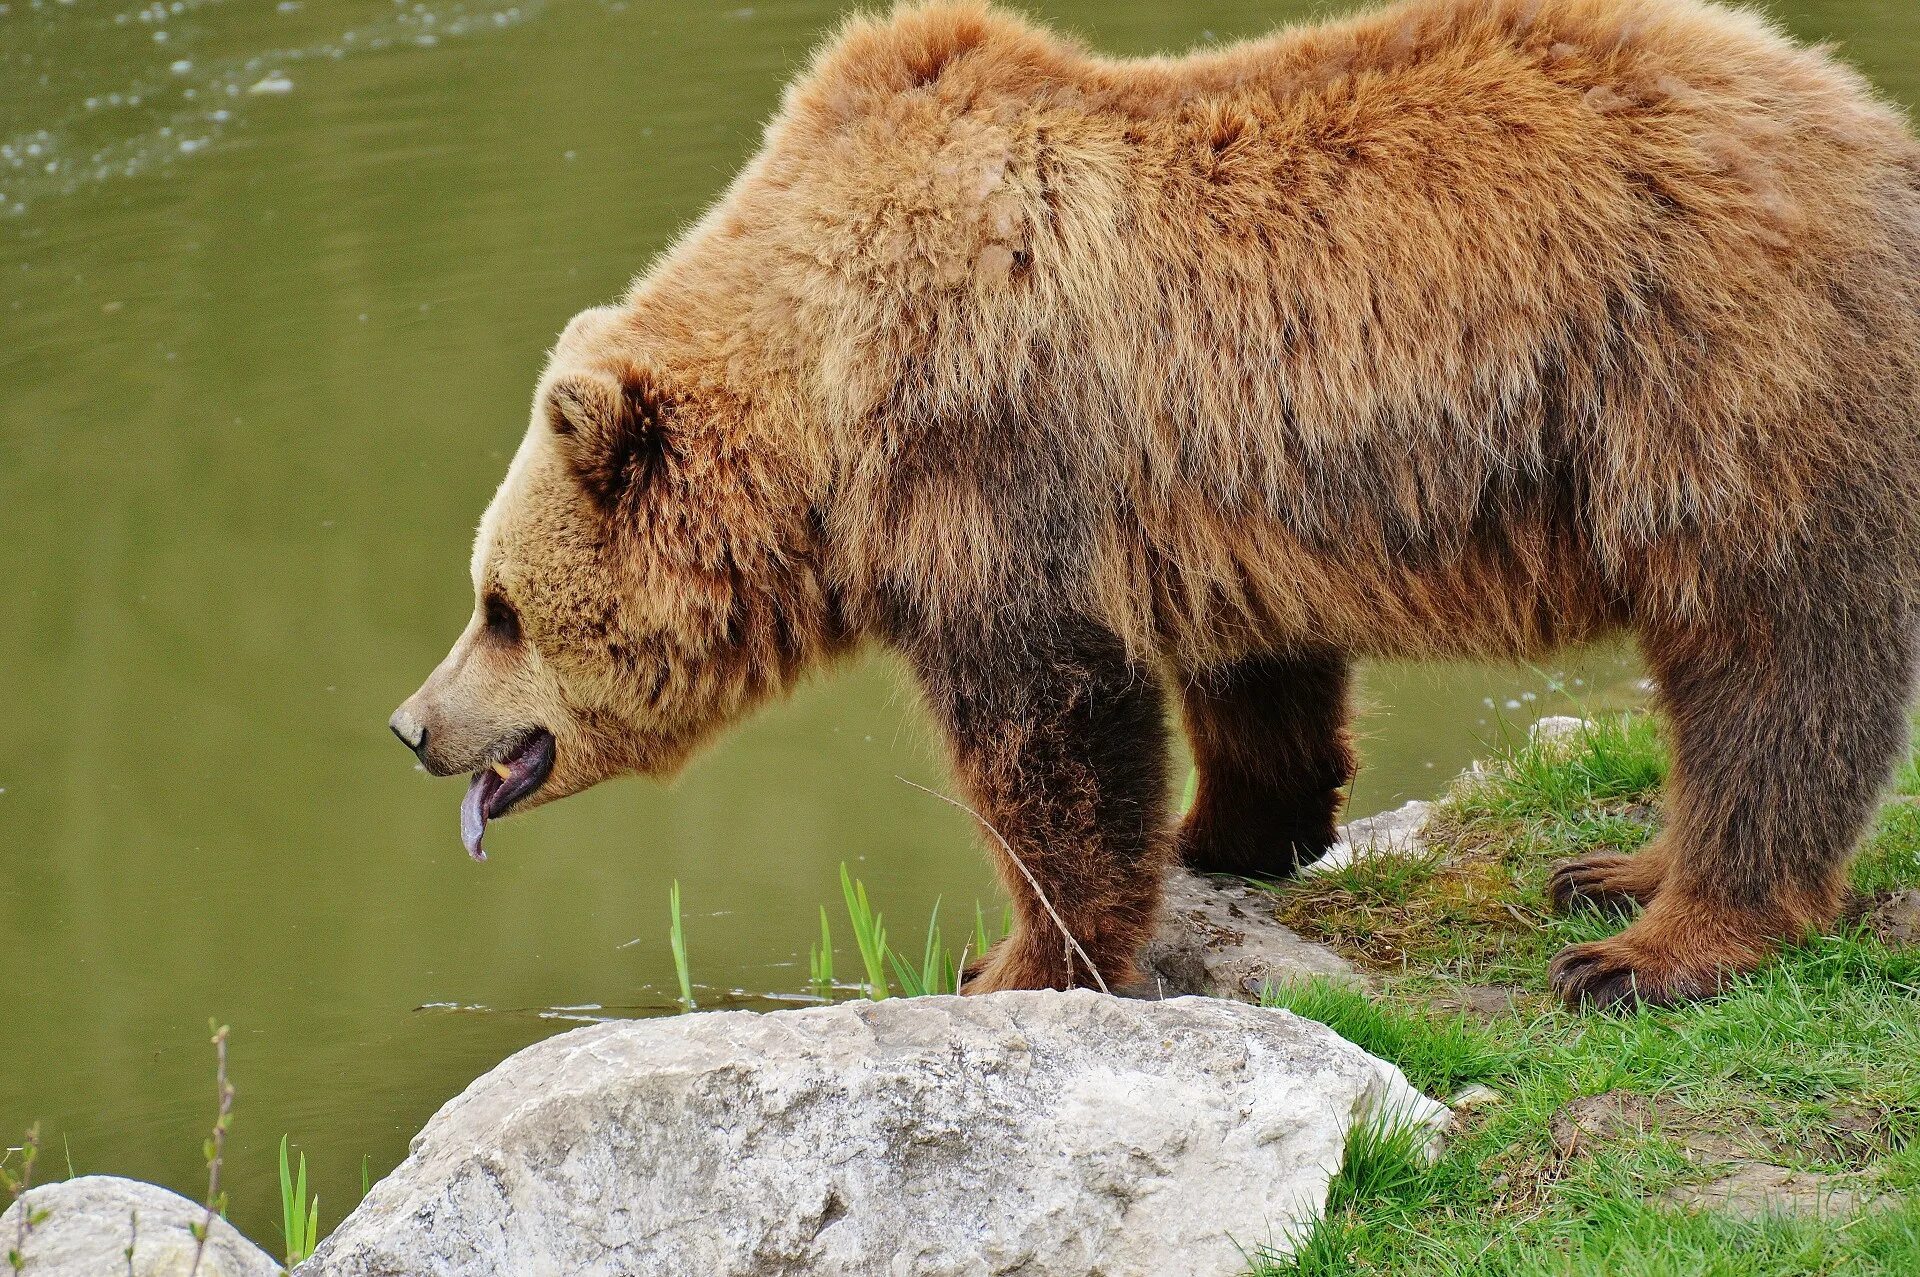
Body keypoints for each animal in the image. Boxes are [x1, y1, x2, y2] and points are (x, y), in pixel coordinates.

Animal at [385, 0, 1920, 1013]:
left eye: (497, 605)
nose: (411, 725)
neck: (824, 391)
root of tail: (1873, 128)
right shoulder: (1216, 474)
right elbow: (1253, 673)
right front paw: (1230, 830)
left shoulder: (987, 456)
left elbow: (1045, 731)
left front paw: (1011, 958)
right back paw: (1614, 868)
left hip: (1717, 377)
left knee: (1769, 661)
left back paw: (1650, 944)